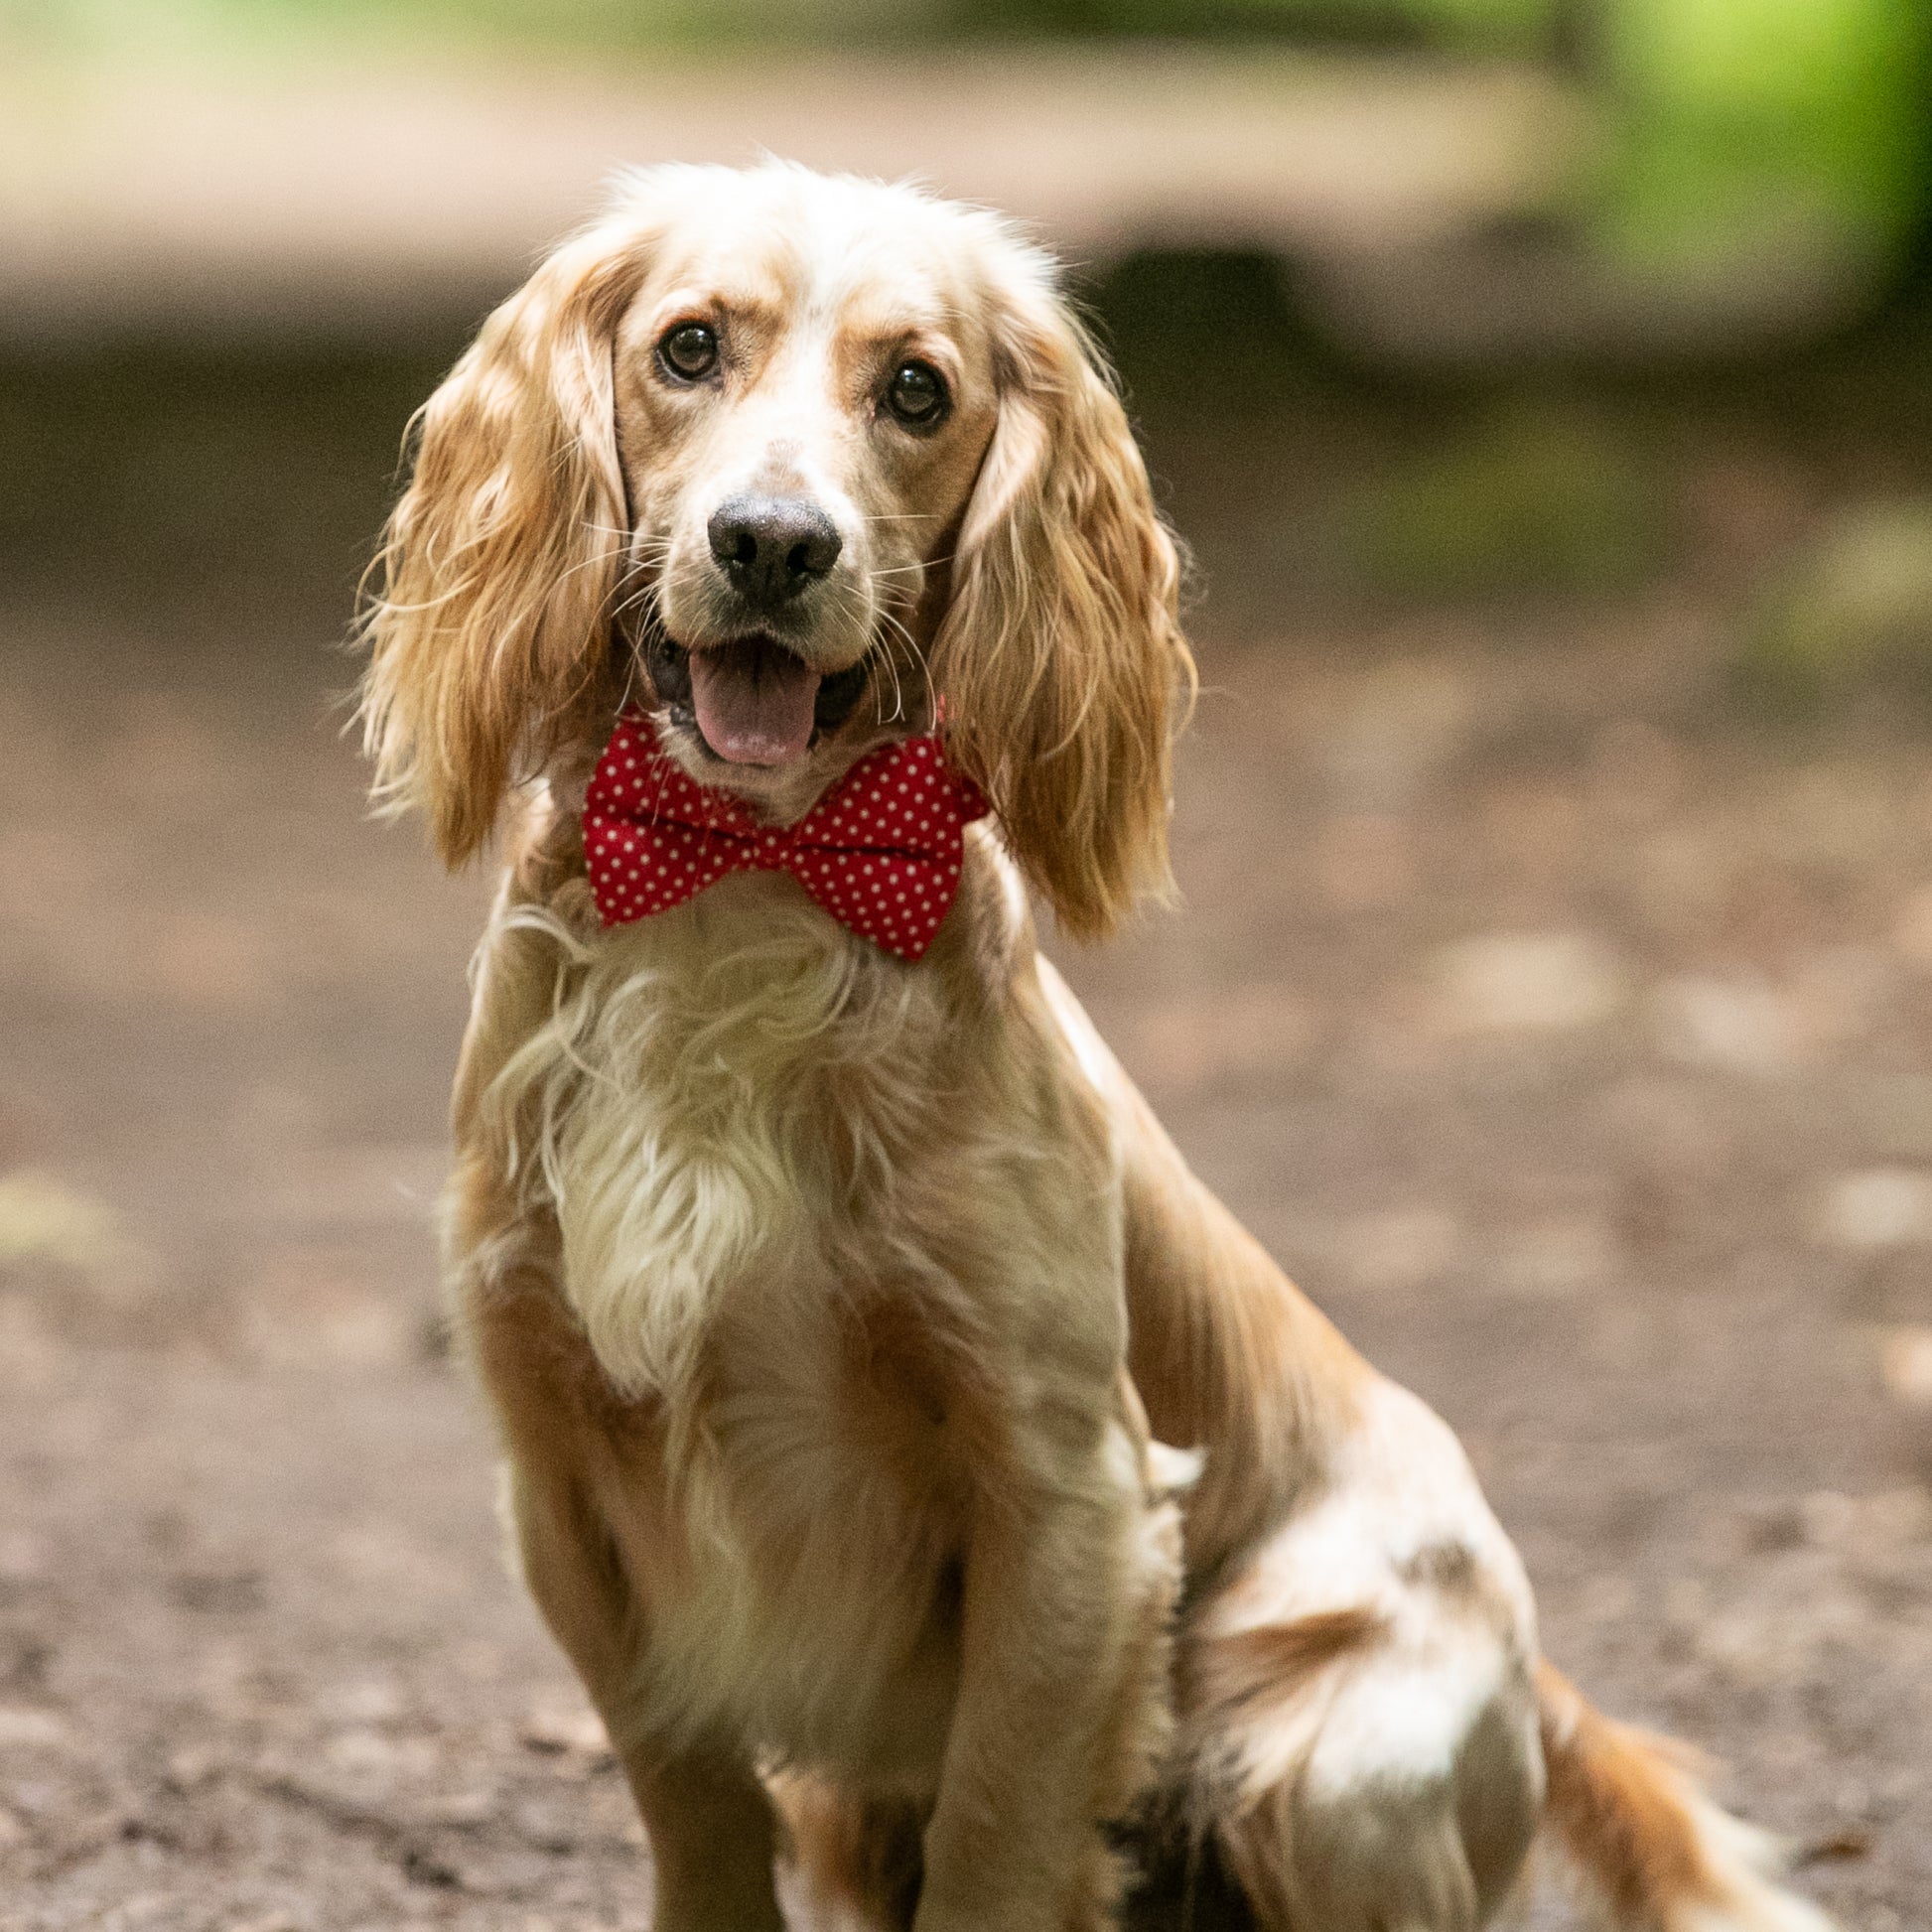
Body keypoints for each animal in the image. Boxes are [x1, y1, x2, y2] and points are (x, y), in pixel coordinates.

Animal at [358, 166, 1839, 1932]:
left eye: (915, 390)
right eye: (689, 347)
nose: (775, 542)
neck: (750, 876)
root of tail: (1538, 1683)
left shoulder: (1068, 1494)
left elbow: (1001, 1831)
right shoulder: (563, 1466)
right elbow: (693, 1802)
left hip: (1330, 1761)